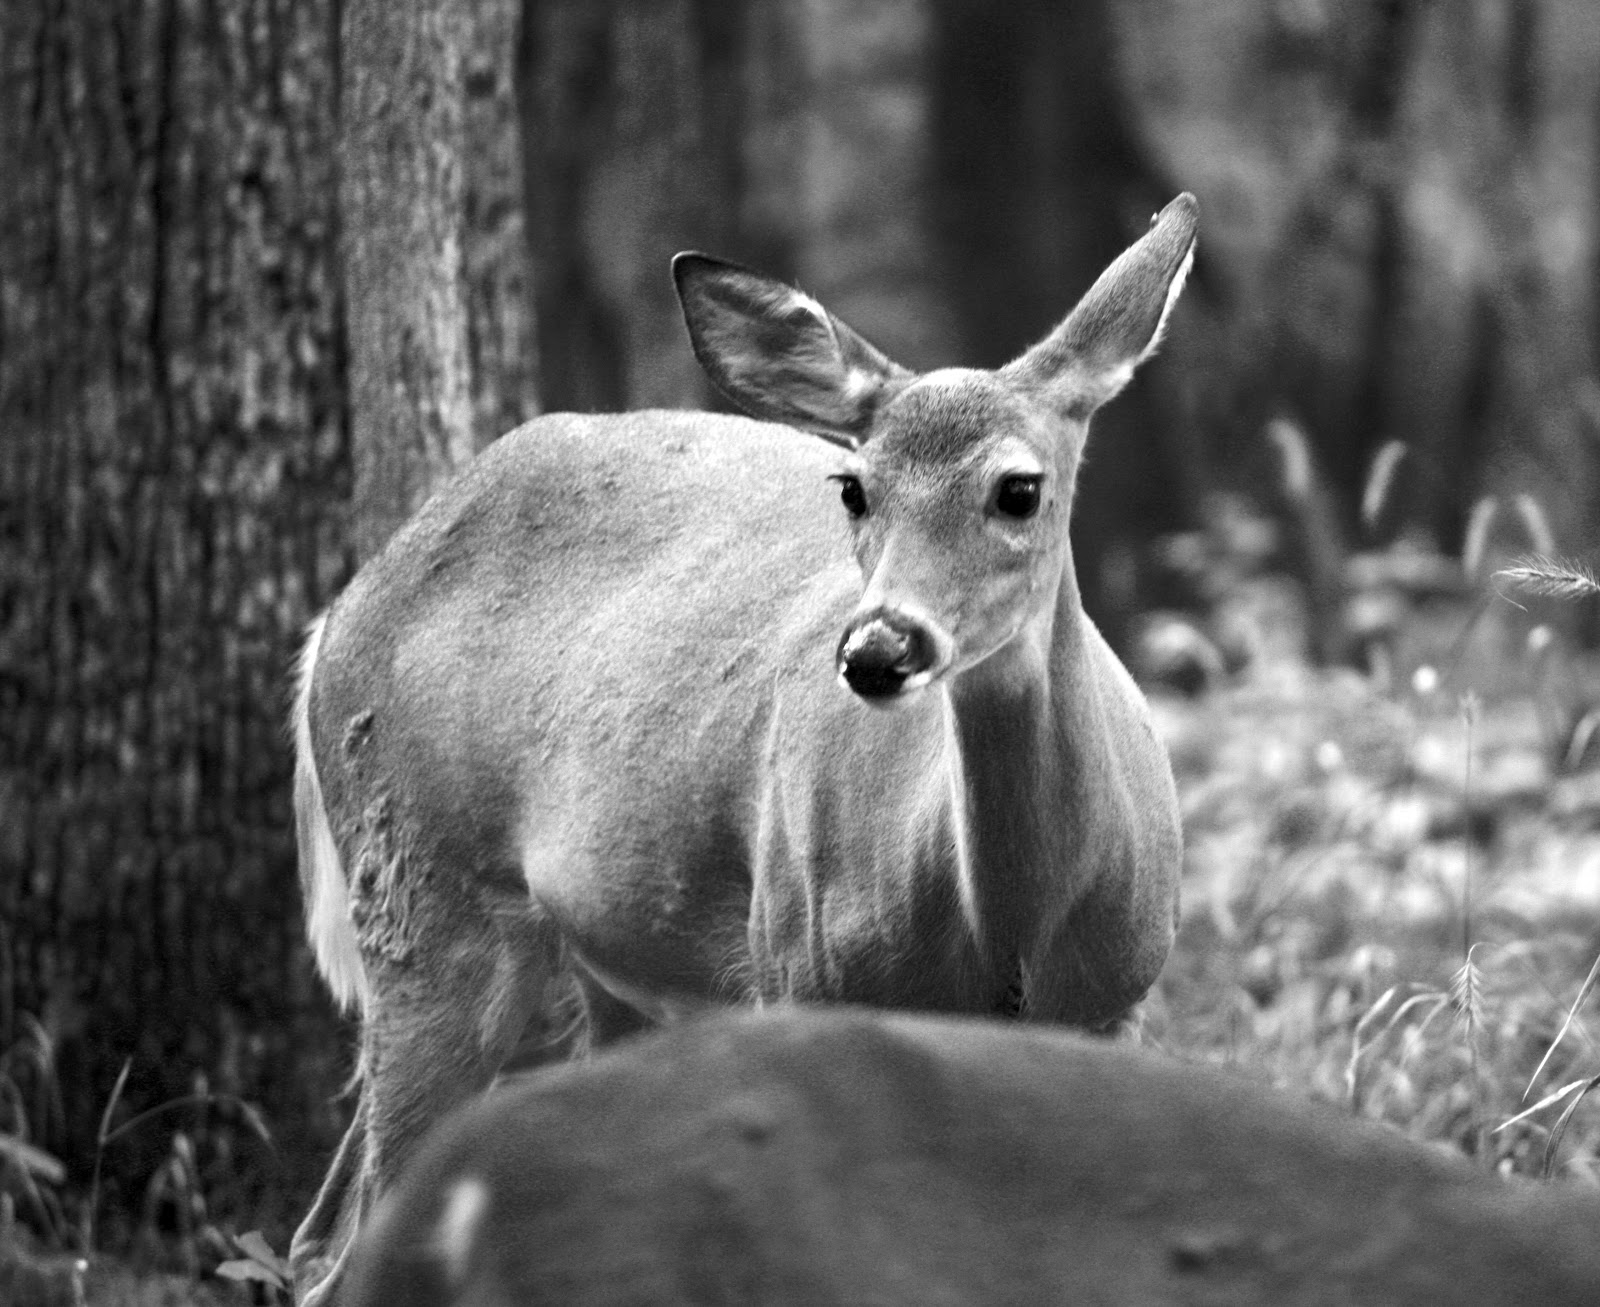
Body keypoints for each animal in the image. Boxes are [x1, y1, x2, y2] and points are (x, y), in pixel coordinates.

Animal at [289, 195, 1197, 1306]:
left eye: (1019, 488)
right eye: (854, 488)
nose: (878, 648)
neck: (1009, 938)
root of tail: (338, 612)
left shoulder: (1117, 1004)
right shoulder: (801, 970)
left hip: (592, 971)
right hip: (426, 901)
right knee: (341, 1253)